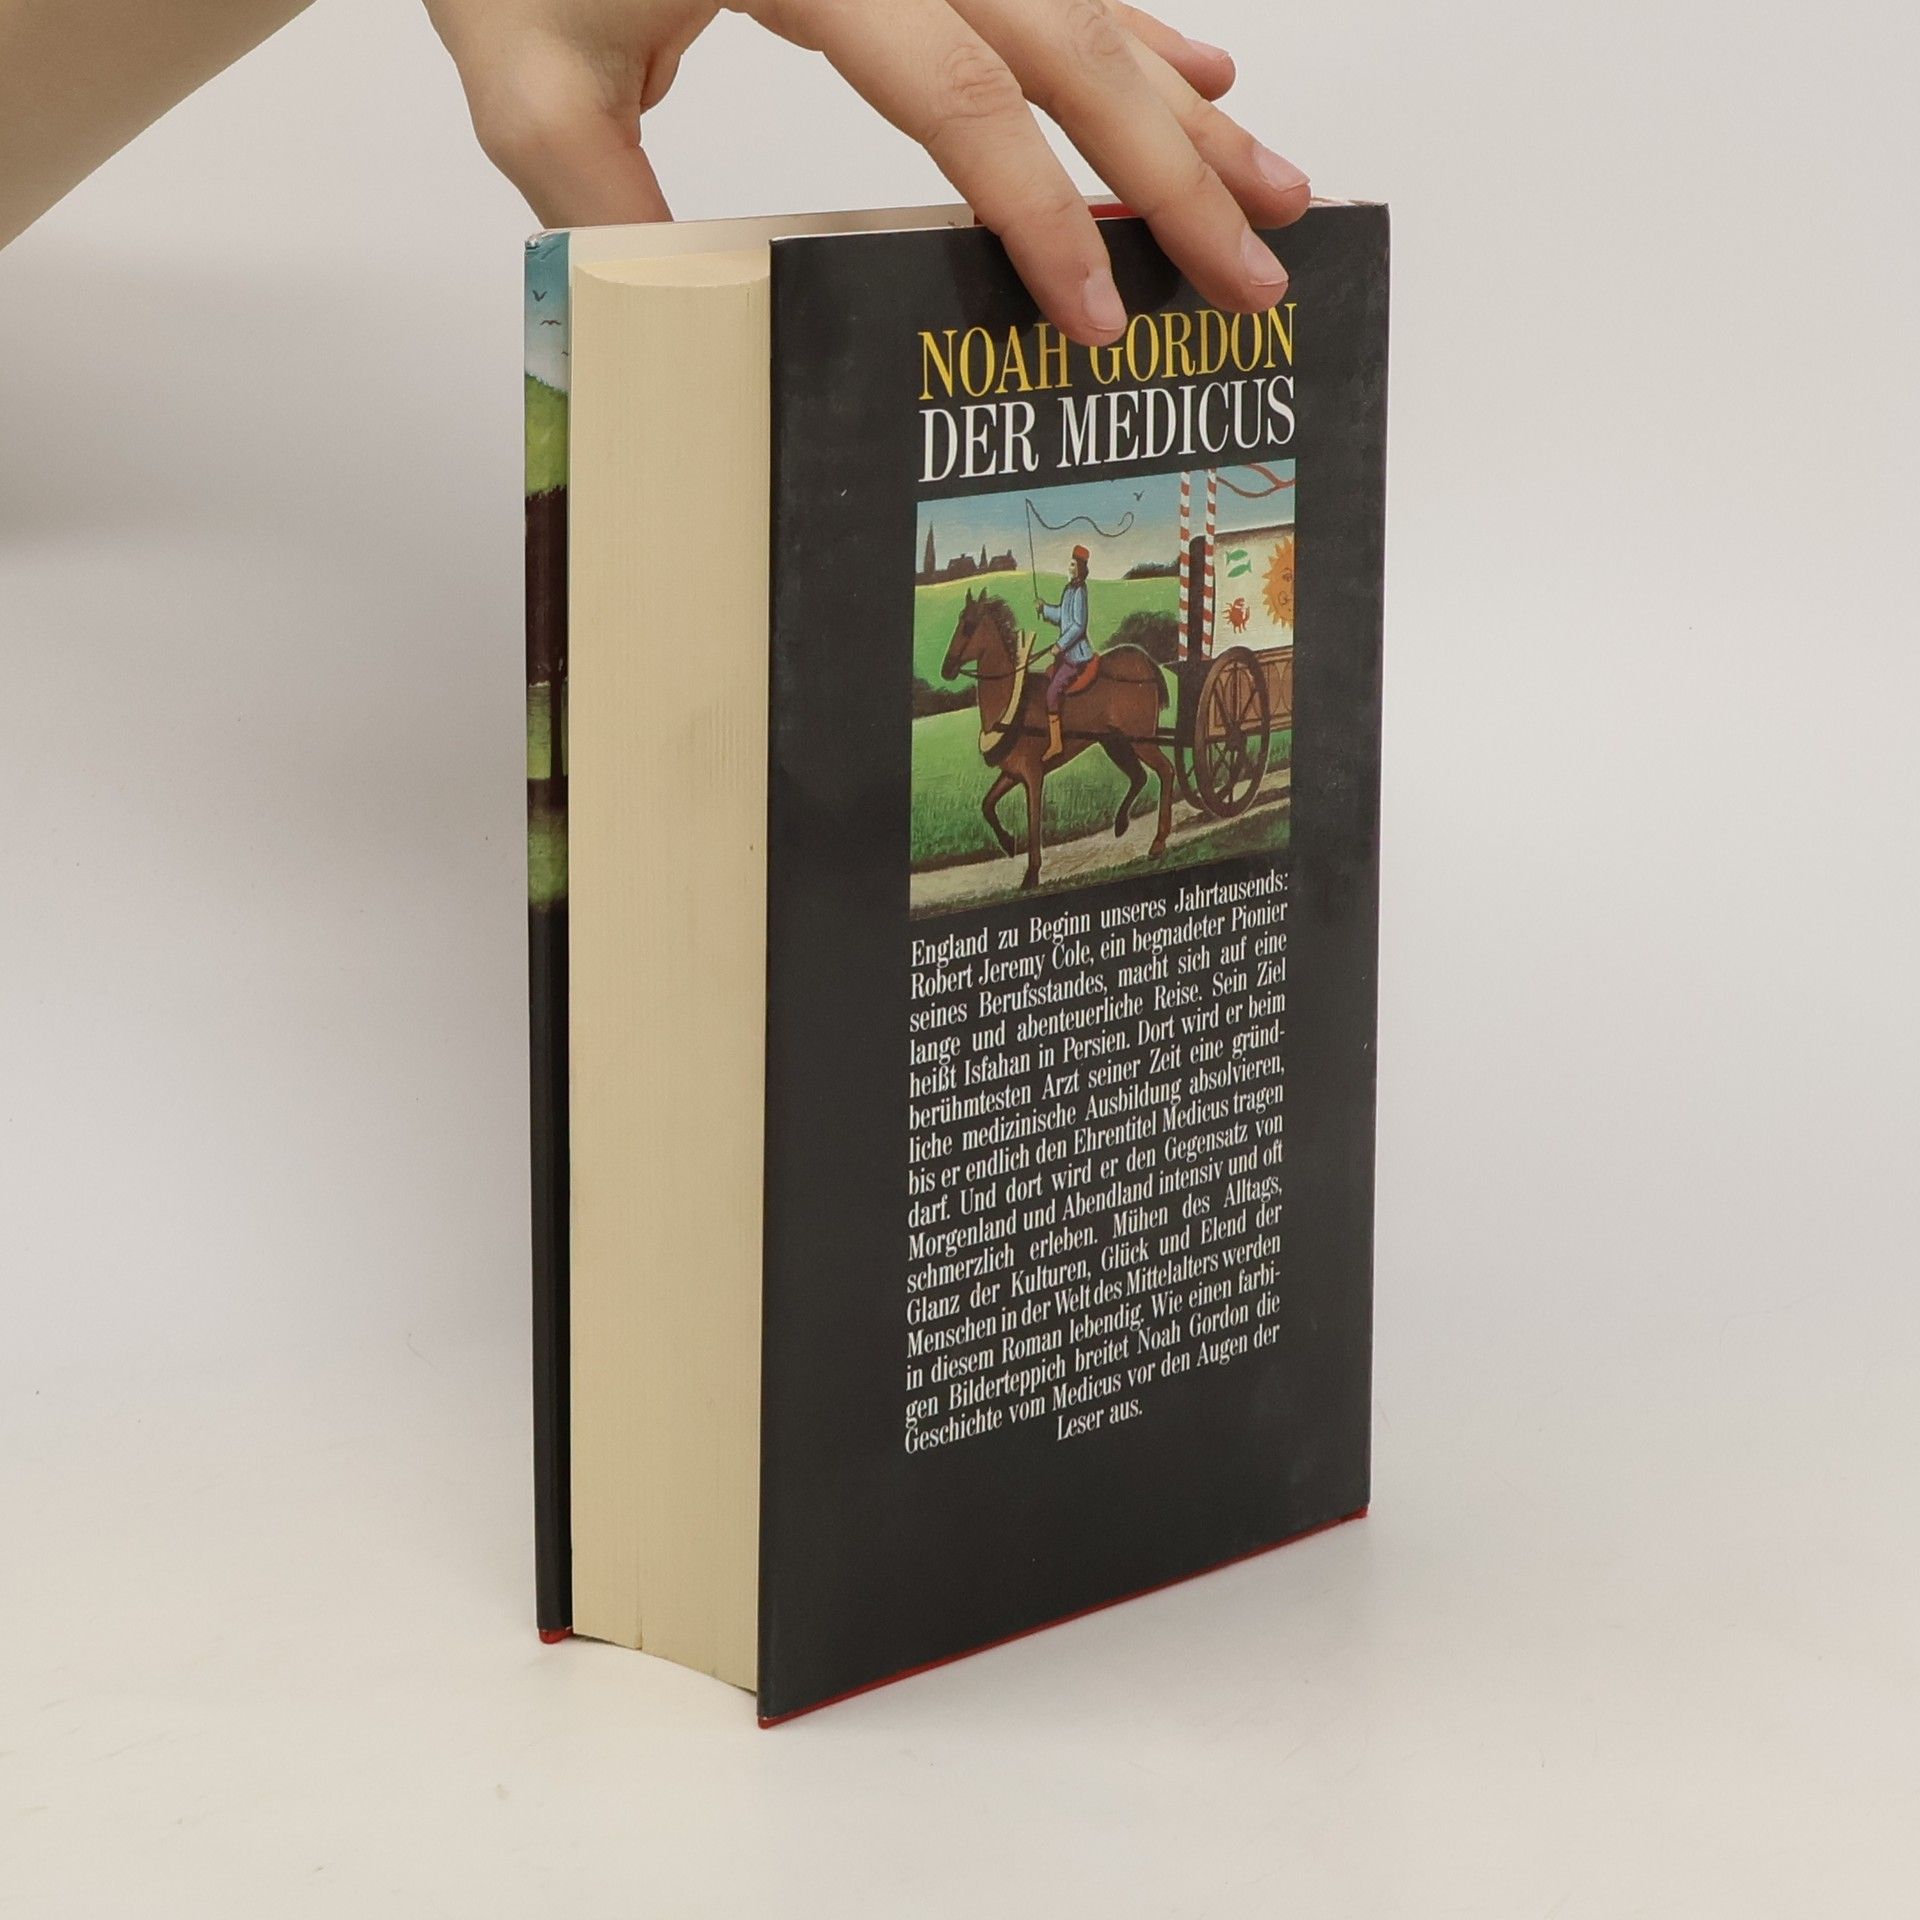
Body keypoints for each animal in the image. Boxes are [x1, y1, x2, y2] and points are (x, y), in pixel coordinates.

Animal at [940, 590, 1174, 891]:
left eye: (968, 625)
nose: (946, 668)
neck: (1013, 703)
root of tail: (1144, 660)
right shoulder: (1012, 773)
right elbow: (987, 805)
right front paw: (1008, 842)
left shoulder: (1033, 774)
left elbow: (1033, 821)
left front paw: (1031, 874)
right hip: (1115, 742)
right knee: (1139, 776)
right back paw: (1121, 823)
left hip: (1140, 741)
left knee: (1166, 771)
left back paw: (1158, 842)